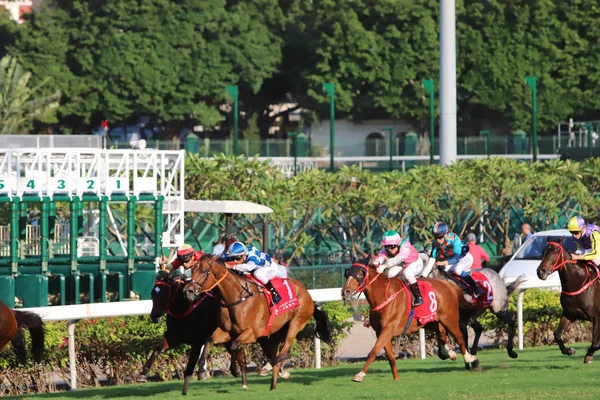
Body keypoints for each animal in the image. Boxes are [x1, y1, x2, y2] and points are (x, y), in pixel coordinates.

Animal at [184, 255, 332, 390]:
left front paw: (234, 369)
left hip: (295, 323)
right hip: (270, 337)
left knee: (284, 351)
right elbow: (210, 340)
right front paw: (202, 371)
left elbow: (233, 345)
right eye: (192, 270)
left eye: (204, 271)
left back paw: (267, 367)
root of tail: (308, 294)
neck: (237, 297)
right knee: (276, 354)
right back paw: (274, 383)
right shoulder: (227, 331)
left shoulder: (252, 332)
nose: (188, 291)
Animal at [342, 255, 478, 382]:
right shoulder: (381, 331)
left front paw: (359, 375)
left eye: (360, 273)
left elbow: (373, 352)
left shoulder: (388, 329)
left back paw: (469, 357)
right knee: (442, 334)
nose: (345, 292)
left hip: (449, 319)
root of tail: (448, 285)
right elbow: (390, 356)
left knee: (459, 337)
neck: (385, 296)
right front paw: (396, 378)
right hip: (430, 321)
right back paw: (450, 353)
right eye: (347, 273)